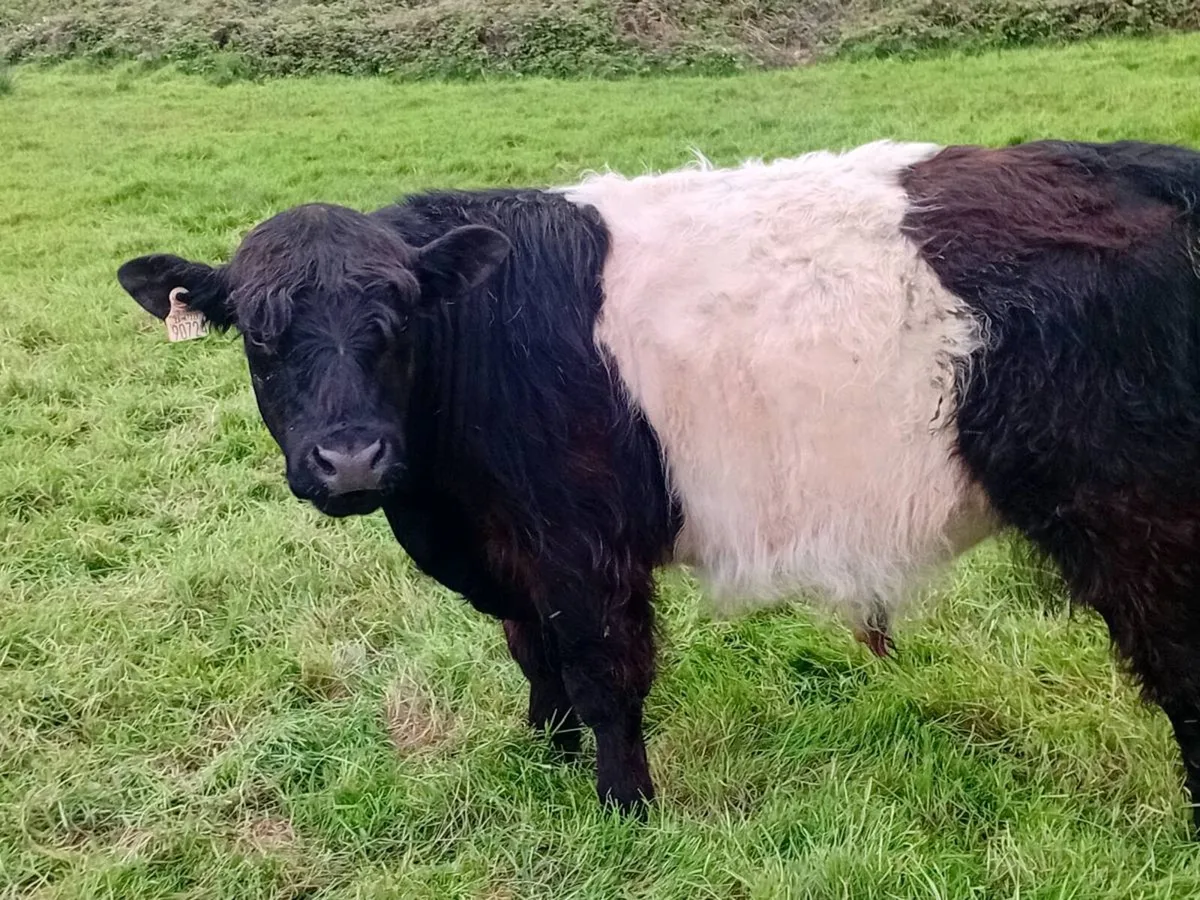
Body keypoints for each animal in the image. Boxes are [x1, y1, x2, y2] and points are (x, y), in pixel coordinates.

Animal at [116, 139, 1200, 832]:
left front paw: (623, 809)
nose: (350, 461)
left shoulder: (582, 542)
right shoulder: (514, 553)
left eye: (398, 320)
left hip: (1140, 512)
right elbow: (533, 655)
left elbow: (604, 673)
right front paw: (543, 754)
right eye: (261, 336)